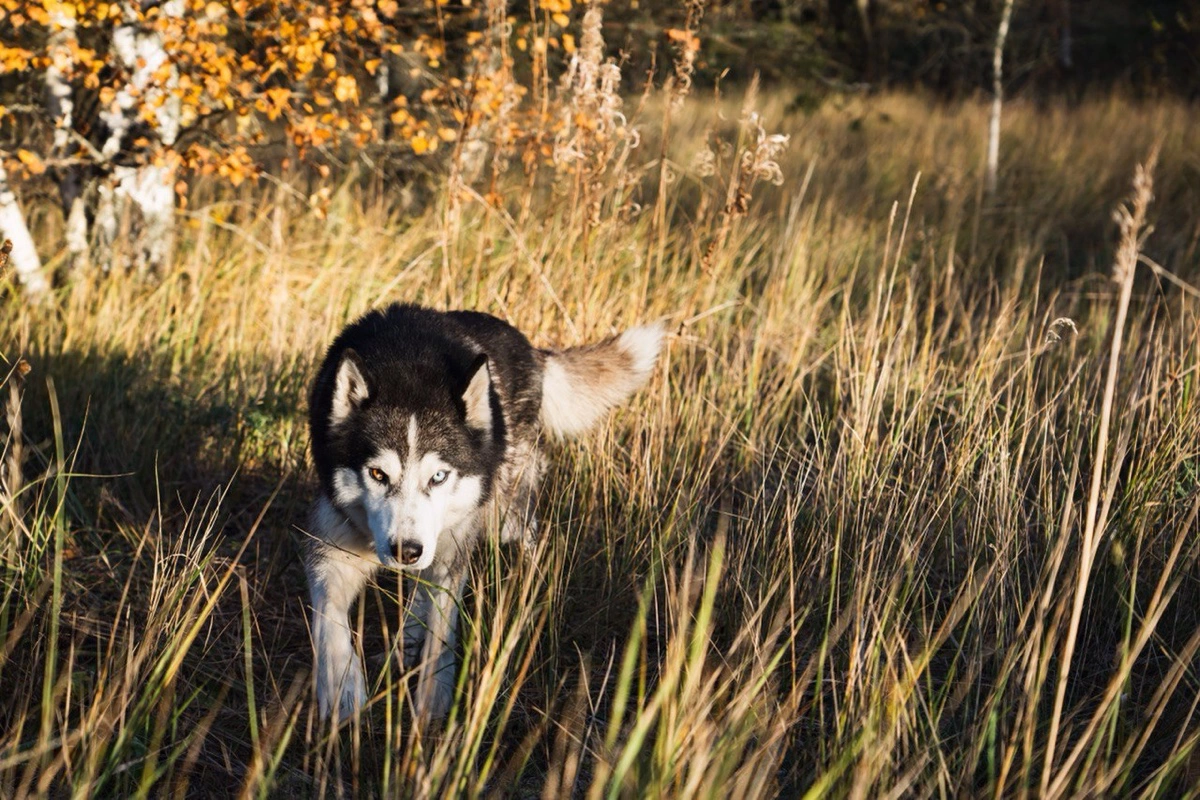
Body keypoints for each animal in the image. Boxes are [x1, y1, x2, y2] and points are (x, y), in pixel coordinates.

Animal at [304, 303, 662, 724]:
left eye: (438, 477)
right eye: (378, 474)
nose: (405, 551)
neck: (406, 359)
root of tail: (527, 345)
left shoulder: (452, 549)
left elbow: (442, 628)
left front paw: (434, 694)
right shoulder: (334, 543)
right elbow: (329, 615)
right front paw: (342, 685)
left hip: (502, 515)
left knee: (524, 539)